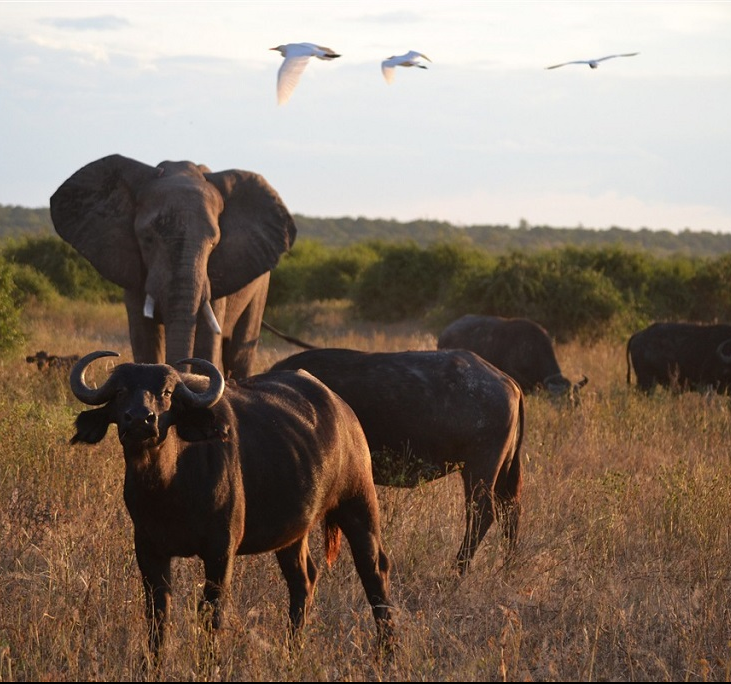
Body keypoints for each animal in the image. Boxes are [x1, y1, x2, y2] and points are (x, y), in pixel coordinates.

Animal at [49, 152, 298, 382]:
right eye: (147, 239)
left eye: (213, 244)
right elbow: (145, 339)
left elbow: (207, 340)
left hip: (261, 286)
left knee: (239, 353)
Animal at [70, 352, 394, 664]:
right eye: (120, 391)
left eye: (167, 392)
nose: (141, 420)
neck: (168, 488)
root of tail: (345, 413)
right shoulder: (149, 549)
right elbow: (158, 612)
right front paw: (153, 664)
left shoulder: (220, 552)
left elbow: (211, 612)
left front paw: (208, 664)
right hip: (292, 533)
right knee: (303, 580)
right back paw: (292, 654)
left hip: (358, 504)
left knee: (374, 571)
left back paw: (387, 654)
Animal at [270, 348, 528, 576]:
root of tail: (509, 382)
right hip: (502, 469)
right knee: (509, 510)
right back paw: (508, 568)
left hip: (479, 467)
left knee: (482, 514)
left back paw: (456, 573)